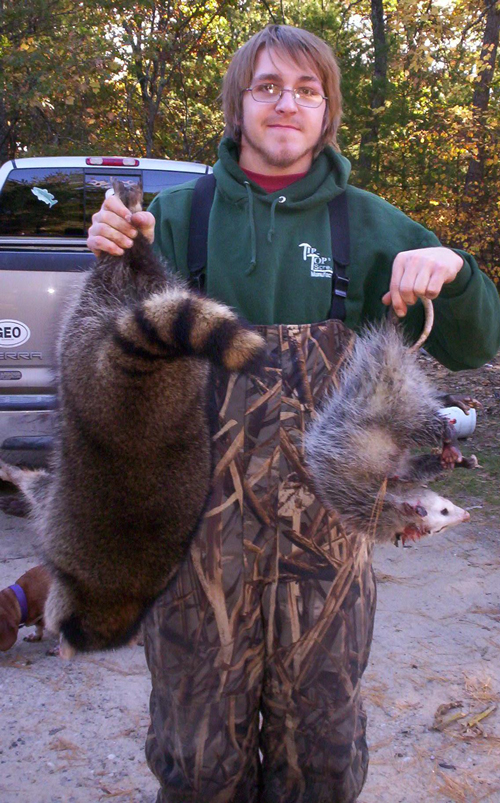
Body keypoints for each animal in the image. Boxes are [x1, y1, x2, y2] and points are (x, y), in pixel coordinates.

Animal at [0, 181, 265, 657]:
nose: (67, 636)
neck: (117, 595)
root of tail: (137, 371)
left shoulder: (57, 531)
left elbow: (37, 489)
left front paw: (13, 474)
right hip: (174, 338)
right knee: (153, 276)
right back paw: (136, 238)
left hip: (82, 337)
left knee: (105, 285)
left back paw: (126, 249)